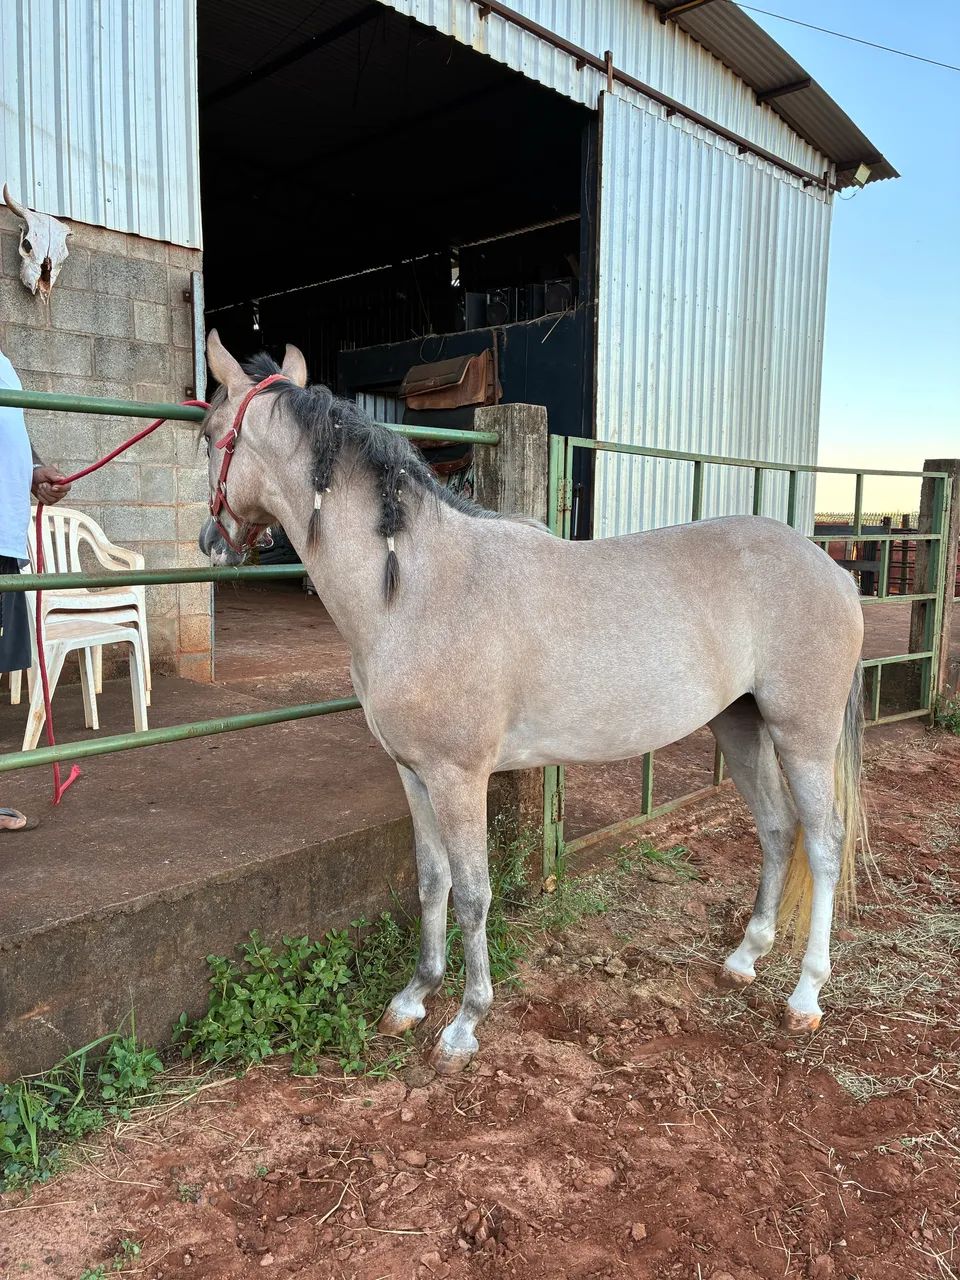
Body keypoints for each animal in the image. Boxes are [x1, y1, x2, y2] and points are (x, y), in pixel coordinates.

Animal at [198, 331, 866, 1075]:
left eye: (209, 435)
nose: (211, 544)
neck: (419, 590)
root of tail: (833, 569)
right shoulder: (413, 775)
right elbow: (431, 881)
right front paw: (413, 998)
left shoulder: (458, 778)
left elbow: (472, 895)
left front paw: (465, 1022)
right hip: (740, 725)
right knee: (777, 830)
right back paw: (745, 957)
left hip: (803, 733)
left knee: (825, 843)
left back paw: (805, 997)